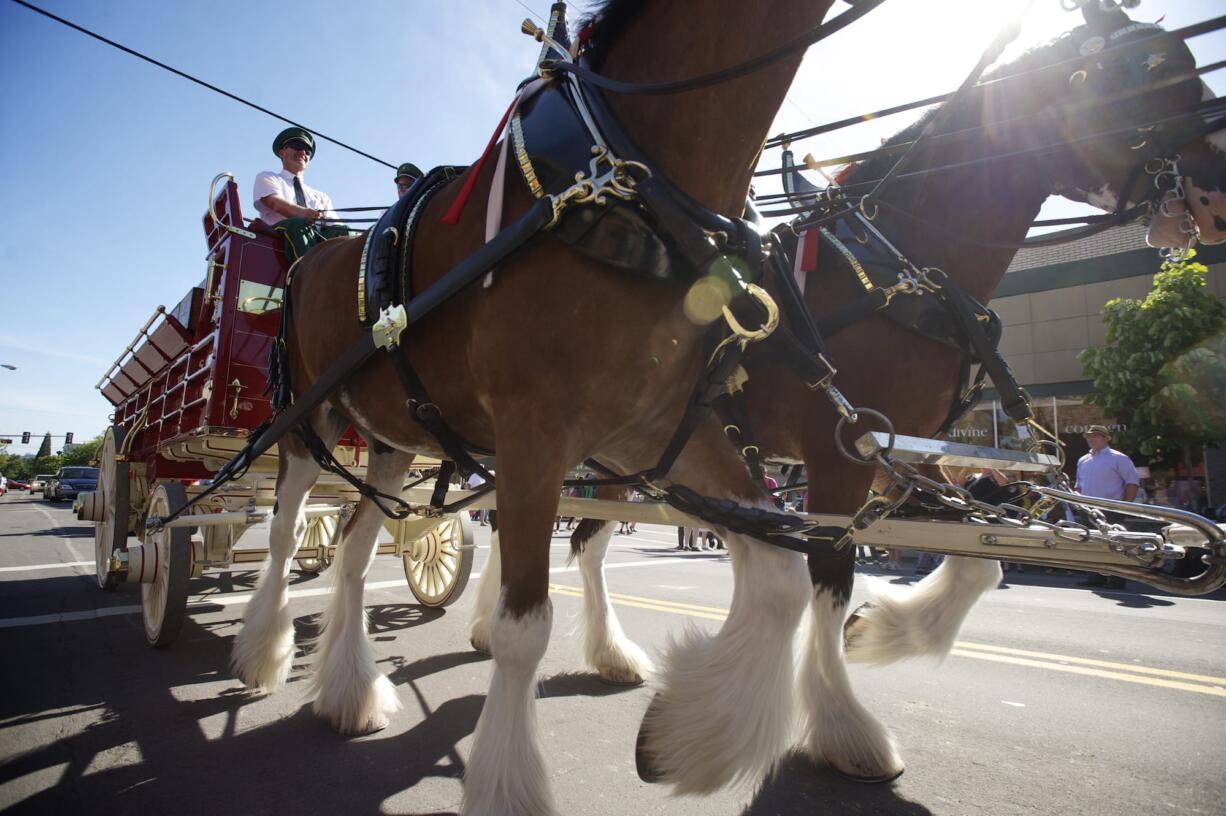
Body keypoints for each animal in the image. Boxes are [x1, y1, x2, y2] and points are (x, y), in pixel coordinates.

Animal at [228, 3, 853, 808]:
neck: (624, 178)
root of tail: (310, 252)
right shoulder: (534, 432)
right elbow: (523, 626)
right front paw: (506, 783)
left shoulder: (652, 429)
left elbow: (779, 571)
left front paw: (689, 741)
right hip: (309, 421)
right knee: (283, 532)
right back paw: (261, 653)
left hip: (392, 438)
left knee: (356, 550)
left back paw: (349, 692)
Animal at [473, 0, 1226, 789]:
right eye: (1151, 70)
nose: (1220, 191)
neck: (906, 269)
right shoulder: (839, 454)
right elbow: (830, 578)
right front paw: (840, 723)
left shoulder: (903, 450)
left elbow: (982, 552)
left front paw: (884, 632)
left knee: (573, 536)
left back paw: (574, 645)